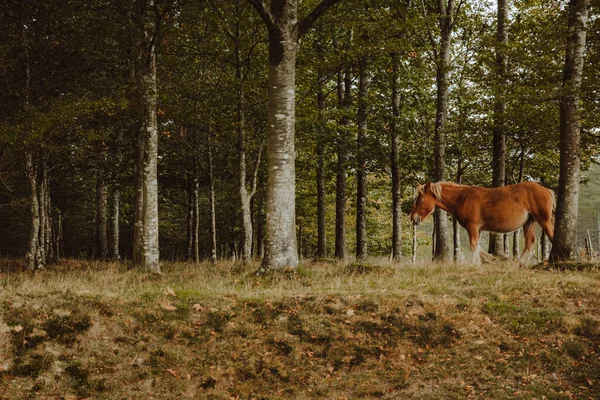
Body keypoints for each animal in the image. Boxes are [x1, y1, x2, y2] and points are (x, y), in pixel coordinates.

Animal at [410, 182, 556, 266]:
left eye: (420, 199)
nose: (413, 218)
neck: (462, 198)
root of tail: (545, 189)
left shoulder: (473, 227)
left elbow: (474, 246)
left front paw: (475, 264)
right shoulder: (478, 230)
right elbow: (478, 247)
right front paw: (492, 259)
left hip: (543, 220)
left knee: (551, 236)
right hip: (529, 222)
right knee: (530, 242)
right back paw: (519, 264)